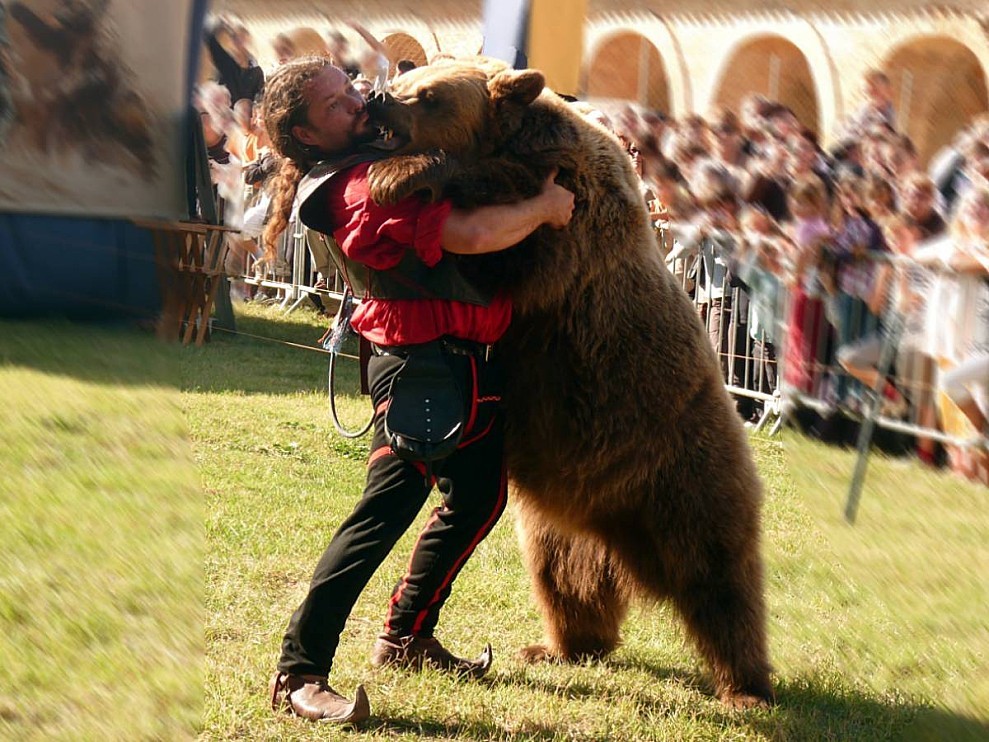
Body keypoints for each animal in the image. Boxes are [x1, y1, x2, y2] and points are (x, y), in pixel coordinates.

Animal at [362, 61, 772, 712]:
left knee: (720, 580)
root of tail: (616, 535)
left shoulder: (566, 227)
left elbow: (497, 234)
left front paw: (398, 176)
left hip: (688, 472)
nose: (377, 95)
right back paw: (558, 646)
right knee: (566, 583)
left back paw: (746, 686)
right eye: (413, 74)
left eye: (427, 95)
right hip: (556, 525)